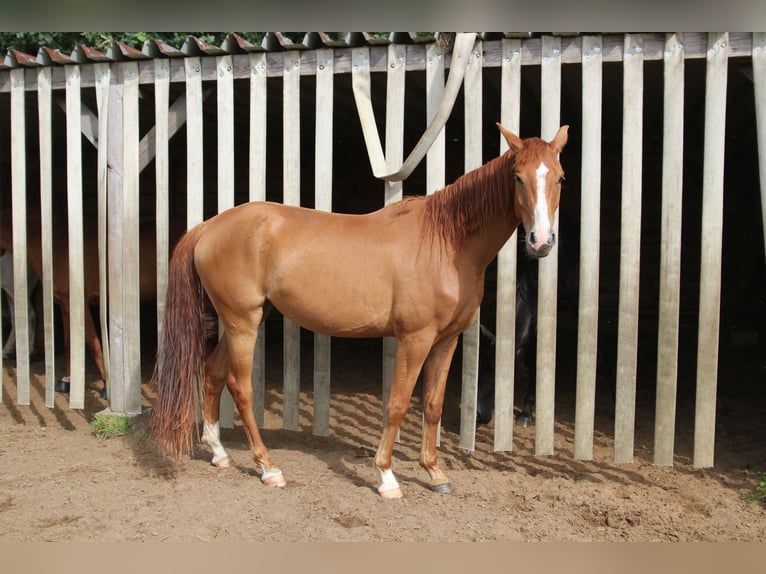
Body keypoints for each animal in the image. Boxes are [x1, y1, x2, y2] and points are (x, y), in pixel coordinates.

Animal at [152, 125, 568, 500]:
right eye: (517, 178)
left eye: (560, 177)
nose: (541, 242)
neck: (446, 243)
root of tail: (209, 227)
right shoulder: (415, 339)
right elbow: (398, 404)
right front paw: (386, 477)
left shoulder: (446, 340)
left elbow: (432, 405)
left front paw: (435, 473)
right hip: (243, 323)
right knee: (240, 386)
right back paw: (268, 468)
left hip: (242, 319)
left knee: (211, 373)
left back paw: (219, 452)